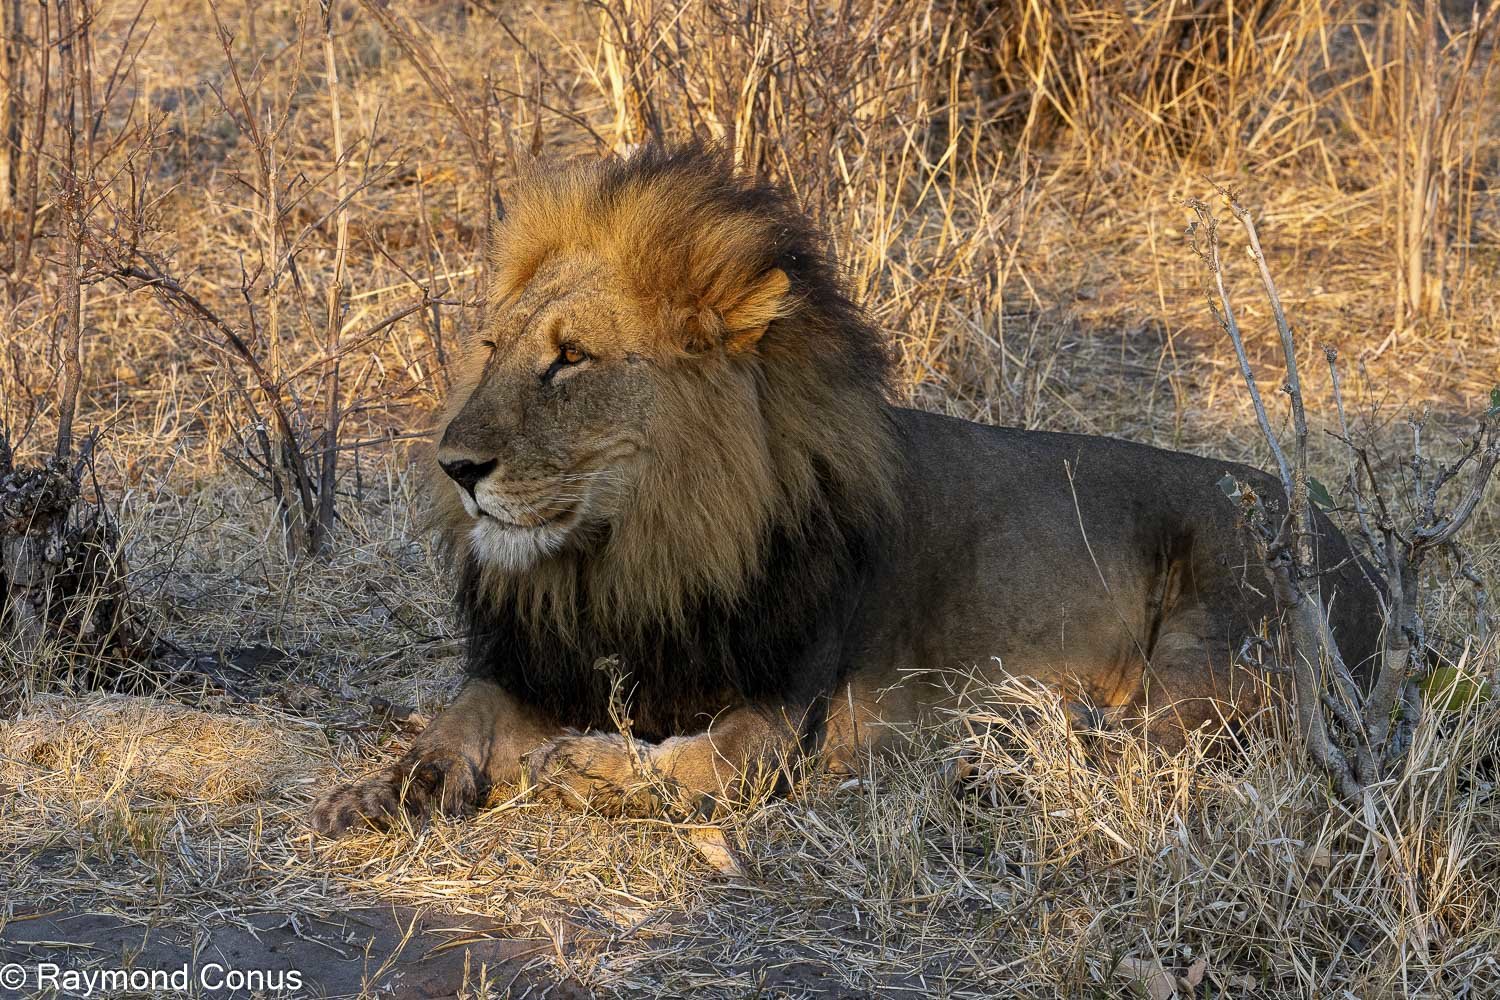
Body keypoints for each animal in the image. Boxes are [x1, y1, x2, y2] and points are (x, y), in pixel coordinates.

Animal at [310, 144, 1381, 835]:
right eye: (490, 349)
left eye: (570, 360)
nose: (454, 466)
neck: (632, 556)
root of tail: (1355, 547)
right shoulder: (538, 661)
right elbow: (461, 713)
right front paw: (384, 787)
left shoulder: (782, 714)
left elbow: (693, 771)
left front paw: (570, 763)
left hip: (1212, 653)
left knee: (1160, 758)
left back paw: (994, 761)